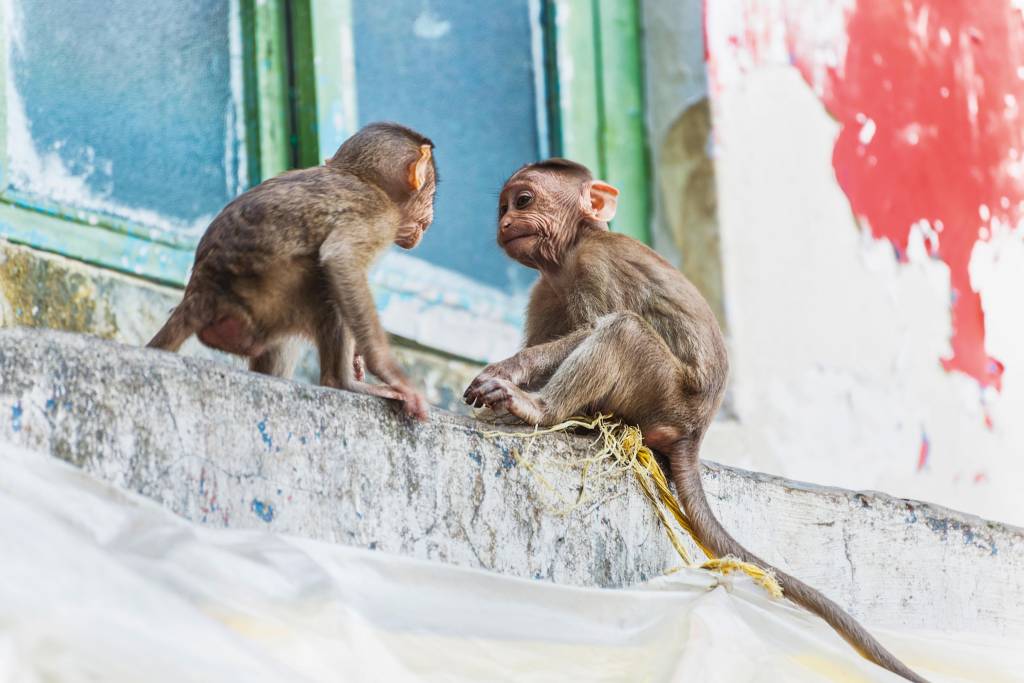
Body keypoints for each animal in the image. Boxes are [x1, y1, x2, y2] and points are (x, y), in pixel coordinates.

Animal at [148, 122, 432, 421]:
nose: (431, 212)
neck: (364, 178)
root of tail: (200, 293)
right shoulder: (380, 215)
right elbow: (341, 259)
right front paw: (388, 371)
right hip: (269, 300)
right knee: (323, 284)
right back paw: (342, 383)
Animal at [464, 157, 929, 679]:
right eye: (504, 207)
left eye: (523, 201)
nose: (505, 223)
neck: (571, 249)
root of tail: (695, 433)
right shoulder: (546, 290)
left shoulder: (595, 265)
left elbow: (589, 328)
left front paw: (509, 375)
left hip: (665, 394)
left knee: (624, 330)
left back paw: (542, 409)